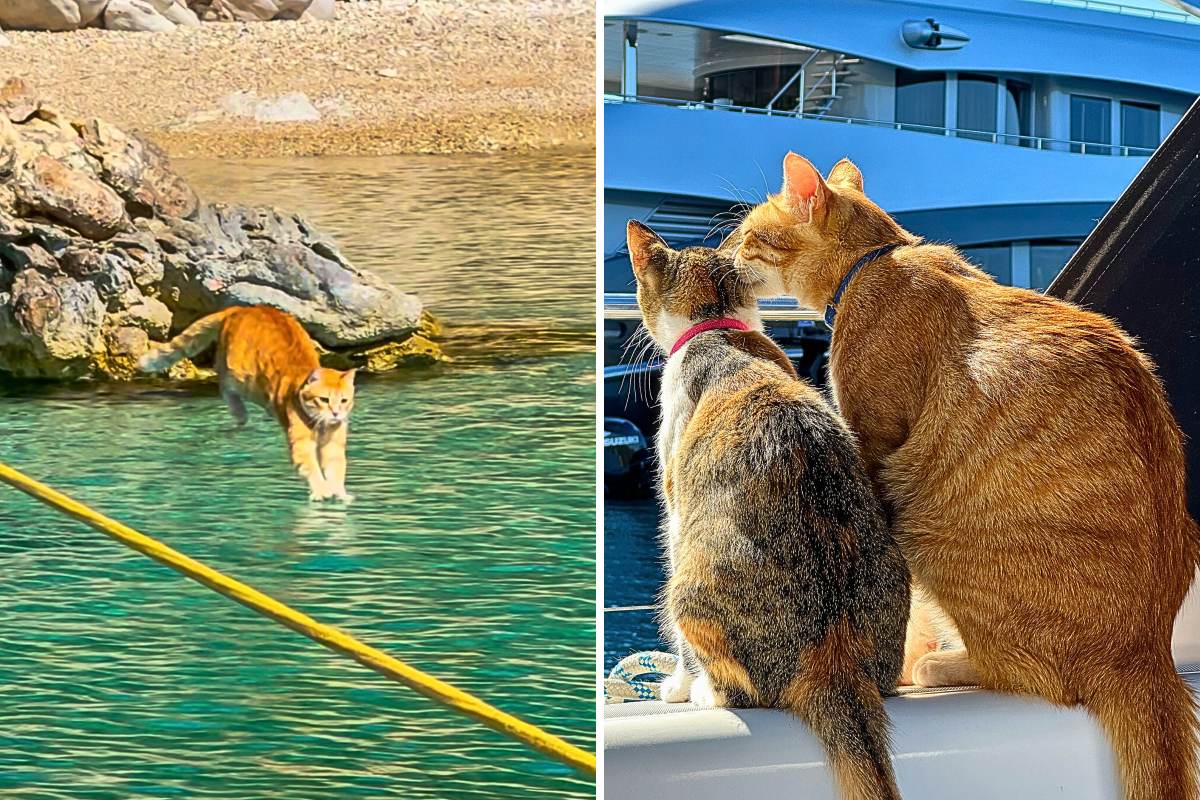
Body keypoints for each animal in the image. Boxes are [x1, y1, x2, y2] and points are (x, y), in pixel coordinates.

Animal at [138, 303, 355, 503]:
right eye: (324, 400)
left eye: (344, 400)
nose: (336, 413)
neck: (320, 424)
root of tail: (241, 308)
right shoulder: (301, 445)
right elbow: (311, 468)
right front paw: (321, 491)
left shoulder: (334, 444)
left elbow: (336, 469)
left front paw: (339, 492)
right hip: (240, 377)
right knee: (224, 384)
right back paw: (240, 412)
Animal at [628, 220, 907, 800]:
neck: (716, 327)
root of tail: (833, 655)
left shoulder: (674, 510)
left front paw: (678, 685)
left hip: (688, 583)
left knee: (741, 686)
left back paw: (707, 692)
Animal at [724, 151, 1200, 800]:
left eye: (747, 234)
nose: (722, 254)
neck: (874, 265)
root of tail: (1147, 651)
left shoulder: (873, 454)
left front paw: (901, 663)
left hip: (930, 533)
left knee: (1024, 671)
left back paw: (938, 665)